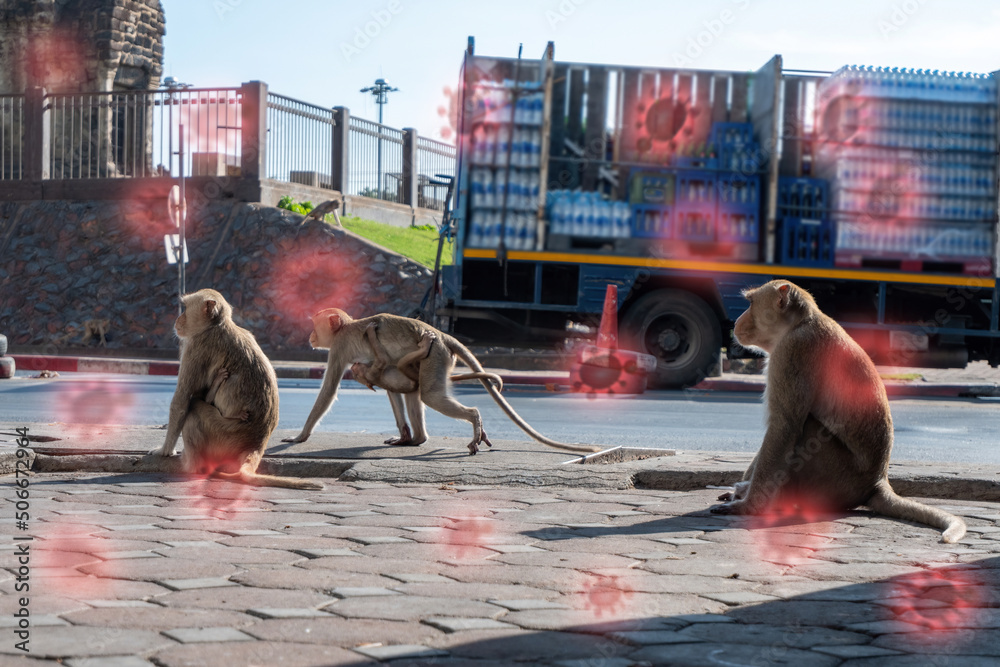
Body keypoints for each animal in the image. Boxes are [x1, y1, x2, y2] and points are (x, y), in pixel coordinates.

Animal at [152, 289, 323, 490]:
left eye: (185, 308)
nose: (178, 319)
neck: (216, 326)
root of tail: (257, 443)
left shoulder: (196, 347)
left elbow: (183, 398)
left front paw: (164, 451)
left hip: (223, 437)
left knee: (193, 409)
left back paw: (192, 466)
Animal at [282, 309, 602, 456]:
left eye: (316, 325)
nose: (310, 336)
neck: (347, 327)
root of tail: (443, 335)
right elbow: (392, 390)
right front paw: (403, 435)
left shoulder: (338, 348)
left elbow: (328, 390)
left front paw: (300, 436)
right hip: (435, 358)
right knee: (413, 391)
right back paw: (416, 438)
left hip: (436, 355)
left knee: (430, 395)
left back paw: (473, 419)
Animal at [712, 280, 966, 543]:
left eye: (751, 303)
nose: (736, 322)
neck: (798, 324)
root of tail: (877, 482)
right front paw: (743, 489)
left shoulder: (793, 351)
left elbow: (785, 425)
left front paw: (749, 505)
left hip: (835, 481)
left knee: (808, 429)